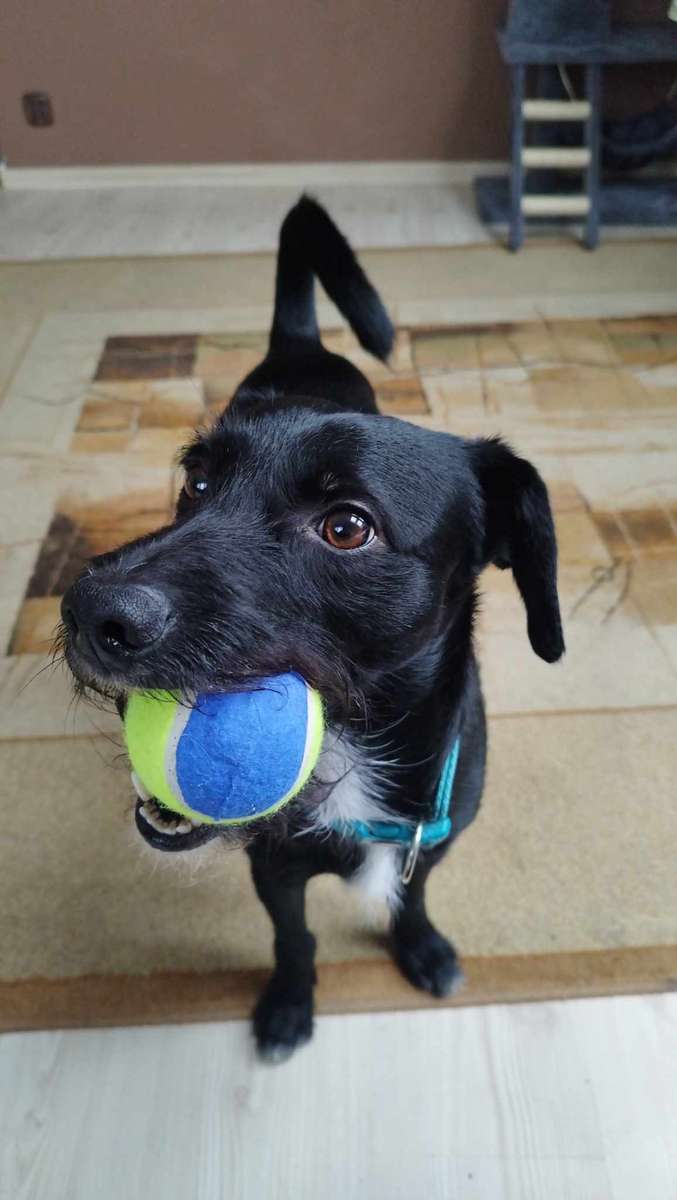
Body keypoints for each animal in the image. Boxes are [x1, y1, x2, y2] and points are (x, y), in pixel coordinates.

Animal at [62, 196, 561, 1060]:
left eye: (346, 527)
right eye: (196, 483)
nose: (87, 610)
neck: (353, 757)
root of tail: (299, 343)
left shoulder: (432, 840)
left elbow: (411, 897)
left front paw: (420, 947)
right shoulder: (276, 871)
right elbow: (294, 938)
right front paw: (291, 1004)